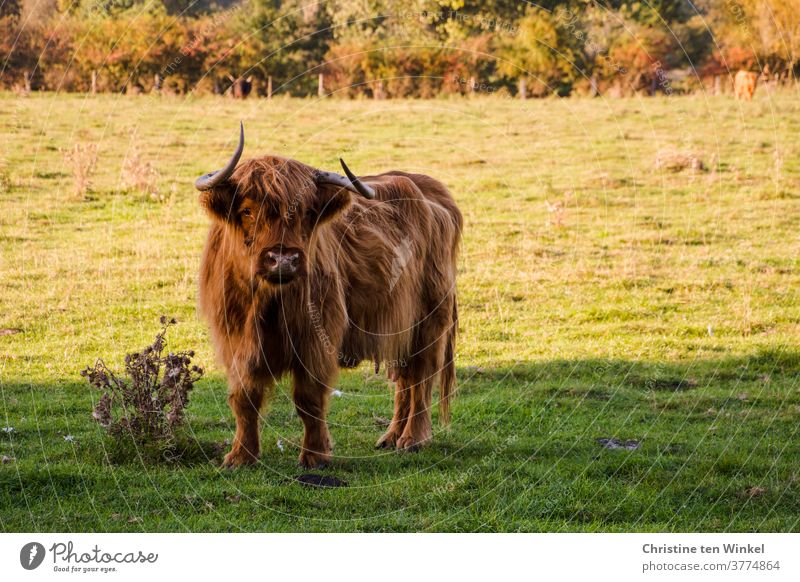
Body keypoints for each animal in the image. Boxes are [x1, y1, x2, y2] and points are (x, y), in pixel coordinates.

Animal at [193, 125, 462, 472]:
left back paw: (413, 439)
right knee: (404, 379)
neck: (268, 303)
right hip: (399, 324)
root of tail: (431, 188)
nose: (283, 260)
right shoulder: (235, 342)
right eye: (247, 211)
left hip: (430, 320)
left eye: (307, 213)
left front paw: (315, 455)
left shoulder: (316, 339)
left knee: (422, 376)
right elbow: (244, 397)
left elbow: (308, 398)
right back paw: (391, 437)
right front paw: (241, 456)